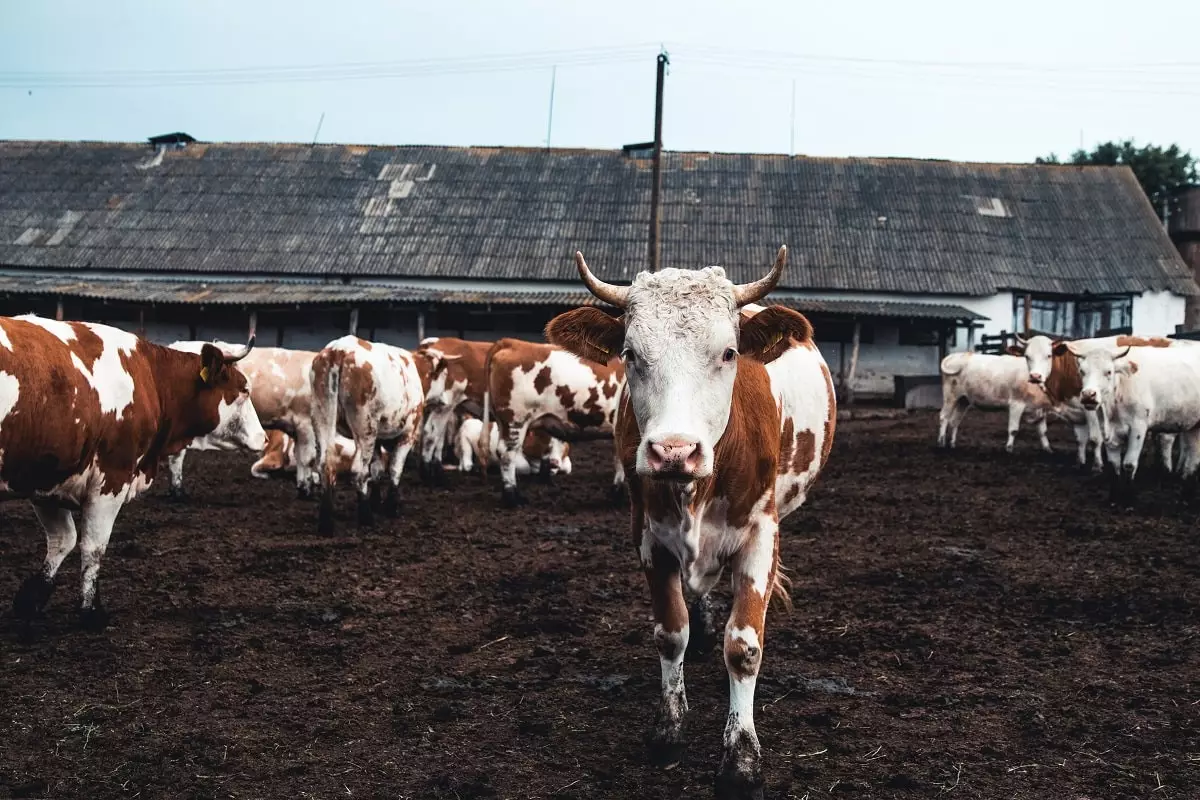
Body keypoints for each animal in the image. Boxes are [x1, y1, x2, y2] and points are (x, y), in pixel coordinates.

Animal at [0, 316, 264, 628]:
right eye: (245, 390)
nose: (264, 438)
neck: (150, 377)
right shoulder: (112, 477)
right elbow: (93, 546)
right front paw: (91, 611)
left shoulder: (48, 478)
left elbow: (62, 539)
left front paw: (32, 598)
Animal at [309, 335, 427, 534]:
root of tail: (338, 350)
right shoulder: (408, 434)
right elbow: (394, 468)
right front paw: (391, 507)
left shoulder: (379, 439)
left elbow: (377, 469)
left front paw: (377, 502)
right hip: (365, 426)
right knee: (358, 470)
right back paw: (366, 517)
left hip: (322, 415)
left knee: (325, 465)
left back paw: (326, 523)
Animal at [547, 247, 835, 796]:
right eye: (630, 354)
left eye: (728, 353)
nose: (674, 451)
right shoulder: (647, 534)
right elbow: (669, 629)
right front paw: (669, 727)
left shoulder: (762, 533)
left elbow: (743, 646)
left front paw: (741, 759)